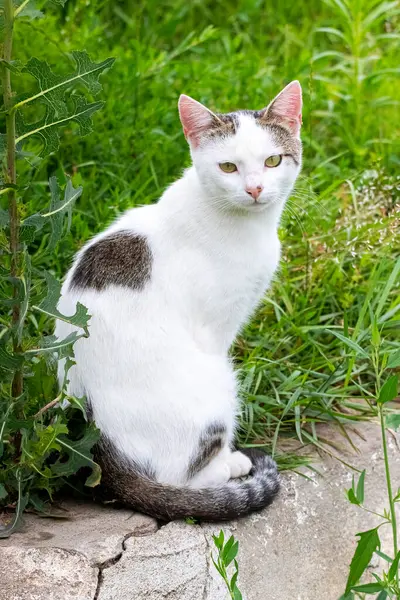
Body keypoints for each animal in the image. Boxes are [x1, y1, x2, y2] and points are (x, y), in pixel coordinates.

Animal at [54, 81, 302, 520]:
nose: (255, 188)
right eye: (228, 167)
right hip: (216, 381)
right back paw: (230, 464)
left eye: (272, 161)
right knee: (180, 477)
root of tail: (101, 455)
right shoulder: (216, 329)